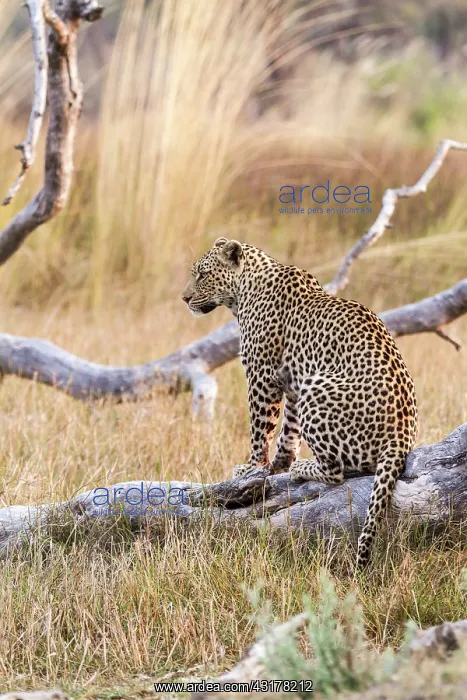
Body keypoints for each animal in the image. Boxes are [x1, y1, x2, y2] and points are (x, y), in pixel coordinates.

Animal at [181, 238, 418, 569]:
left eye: (202, 274)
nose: (184, 298)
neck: (244, 291)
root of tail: (401, 435)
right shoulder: (291, 381)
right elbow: (287, 432)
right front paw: (278, 465)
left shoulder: (262, 376)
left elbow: (260, 429)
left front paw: (253, 468)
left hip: (316, 388)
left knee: (337, 471)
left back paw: (304, 467)